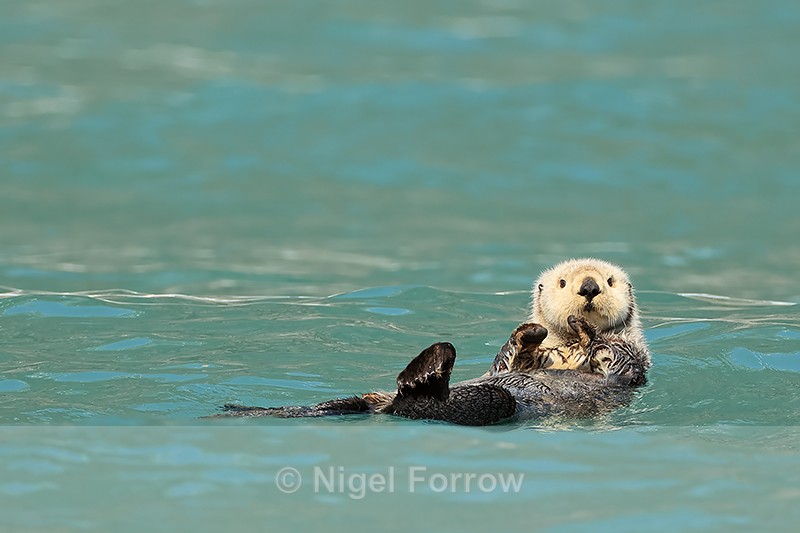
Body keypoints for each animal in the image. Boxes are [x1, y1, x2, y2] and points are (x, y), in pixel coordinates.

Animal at [212, 259, 650, 426]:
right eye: (562, 283)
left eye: (610, 281)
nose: (589, 287)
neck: (565, 350)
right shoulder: (517, 362)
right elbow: (507, 361)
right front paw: (529, 332)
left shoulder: (634, 359)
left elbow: (614, 356)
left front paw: (587, 332)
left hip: (491, 404)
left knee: (424, 403)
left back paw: (428, 369)